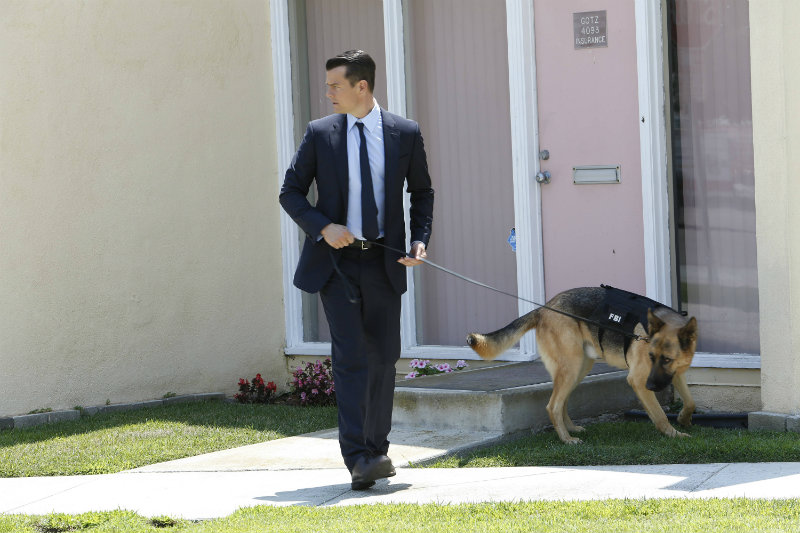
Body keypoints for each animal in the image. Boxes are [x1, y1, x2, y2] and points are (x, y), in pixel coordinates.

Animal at [466, 286, 698, 444]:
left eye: (666, 360)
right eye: (650, 356)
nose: (650, 386)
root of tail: (543, 308)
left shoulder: (675, 374)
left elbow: (690, 402)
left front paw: (683, 418)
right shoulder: (638, 380)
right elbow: (659, 415)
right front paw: (674, 434)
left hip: (578, 368)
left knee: (561, 402)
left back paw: (571, 430)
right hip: (572, 366)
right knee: (553, 405)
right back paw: (566, 439)